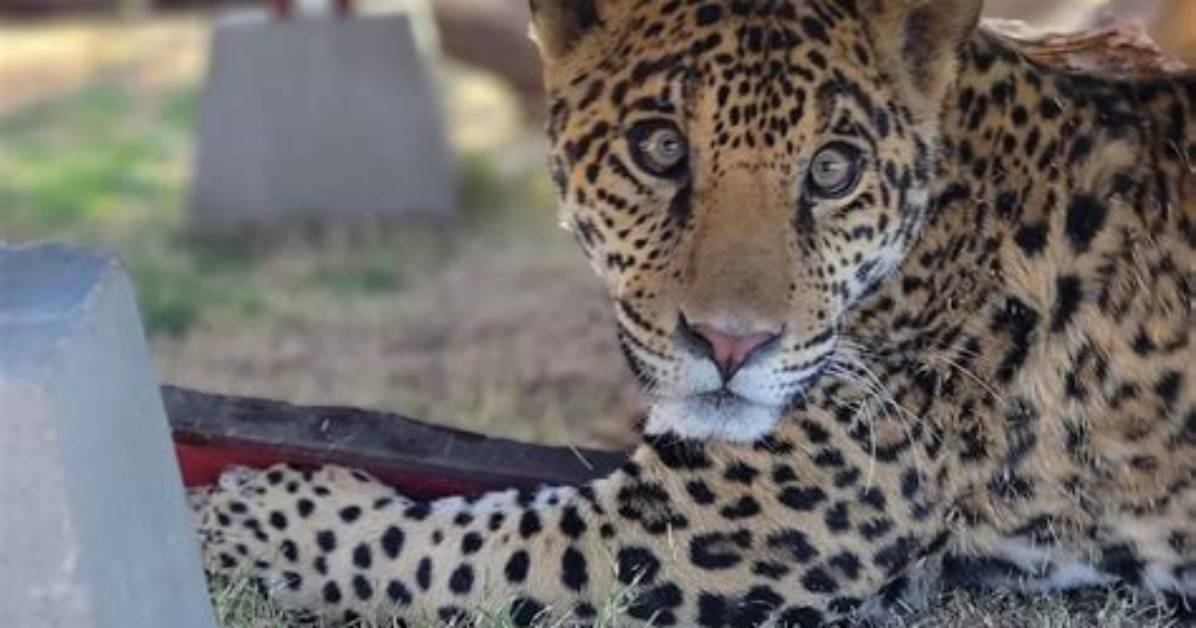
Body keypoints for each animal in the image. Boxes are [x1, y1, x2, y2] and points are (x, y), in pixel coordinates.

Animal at [194, 0, 1196, 625]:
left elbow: (426, 546)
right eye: (660, 149)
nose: (730, 343)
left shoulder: (691, 536)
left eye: (833, 170)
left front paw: (236, 516)